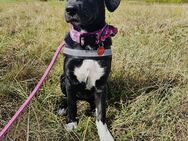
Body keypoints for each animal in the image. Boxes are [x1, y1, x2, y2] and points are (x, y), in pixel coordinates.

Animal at [57, 0, 121, 140]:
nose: (70, 9)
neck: (87, 39)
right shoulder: (69, 80)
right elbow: (72, 105)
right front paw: (71, 124)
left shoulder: (101, 85)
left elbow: (101, 114)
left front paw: (105, 135)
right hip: (62, 79)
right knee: (68, 98)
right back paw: (62, 107)